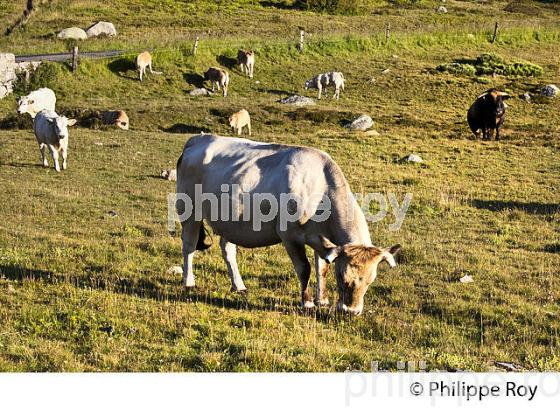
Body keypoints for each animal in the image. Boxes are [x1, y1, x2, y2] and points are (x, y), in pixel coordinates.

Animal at [177, 134, 400, 314]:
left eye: (371, 280)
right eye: (342, 276)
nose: (351, 311)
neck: (320, 188)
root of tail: (198, 139)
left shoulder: (322, 240)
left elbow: (321, 268)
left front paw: (322, 300)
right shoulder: (289, 236)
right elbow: (304, 269)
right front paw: (307, 302)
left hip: (230, 222)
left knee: (227, 249)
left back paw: (238, 285)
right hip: (189, 210)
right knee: (189, 245)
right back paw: (189, 282)